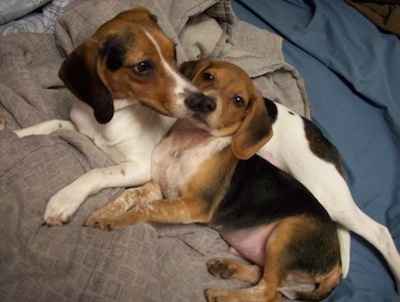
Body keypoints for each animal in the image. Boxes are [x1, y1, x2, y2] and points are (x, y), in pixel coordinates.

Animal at [12, 7, 212, 226]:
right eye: (143, 66)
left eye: (174, 51)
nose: (200, 101)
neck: (112, 118)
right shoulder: (81, 127)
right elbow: (53, 123)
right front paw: (17, 134)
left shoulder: (140, 167)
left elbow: (97, 172)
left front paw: (66, 198)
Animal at [86, 59, 342, 302]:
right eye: (209, 77)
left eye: (238, 100)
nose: (206, 102)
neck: (187, 143)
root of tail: (338, 264)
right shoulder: (157, 187)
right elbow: (128, 195)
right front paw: (103, 214)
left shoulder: (193, 204)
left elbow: (148, 208)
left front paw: (115, 222)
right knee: (262, 277)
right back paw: (227, 268)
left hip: (284, 237)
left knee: (270, 292)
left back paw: (224, 294)